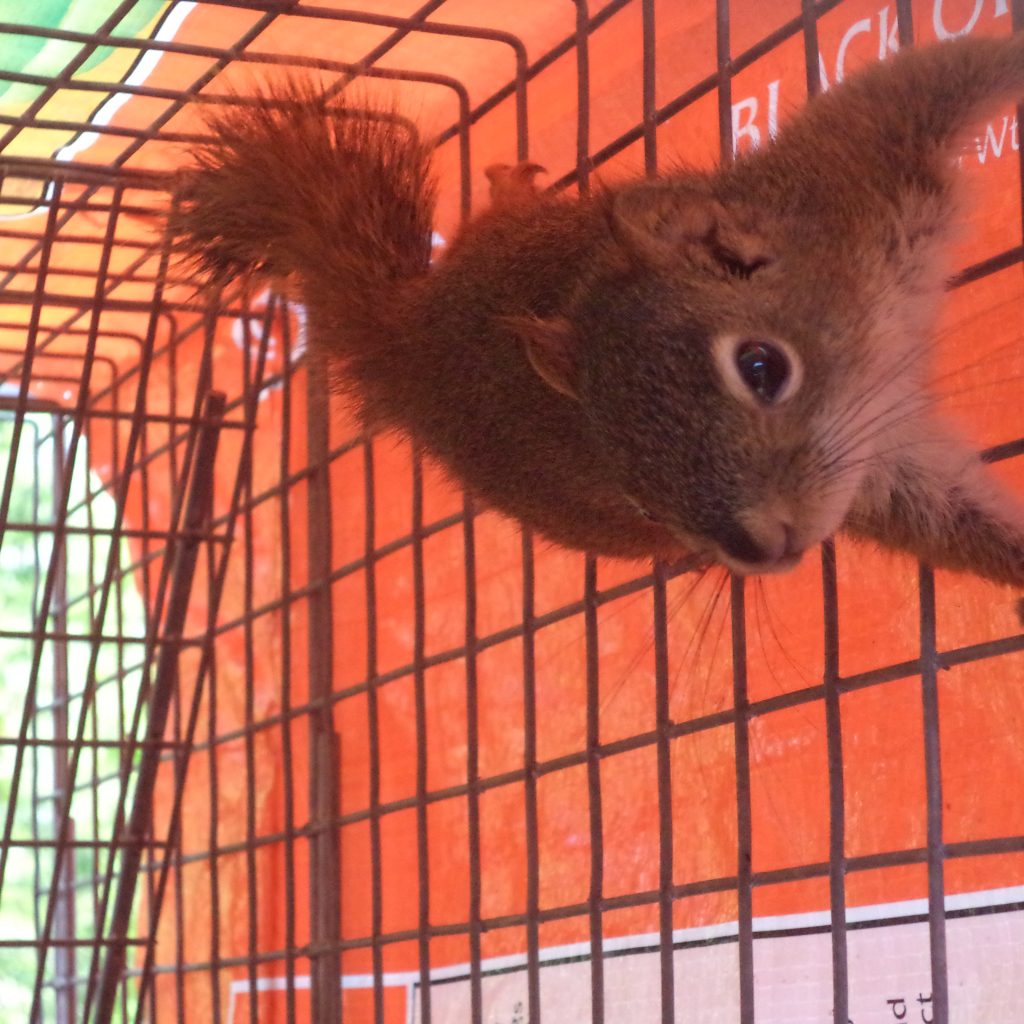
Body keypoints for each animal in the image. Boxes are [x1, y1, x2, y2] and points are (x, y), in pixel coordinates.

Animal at [172, 34, 1024, 586]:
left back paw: (509, 184)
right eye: (641, 497)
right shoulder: (880, 473)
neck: (878, 338)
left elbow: (949, 71)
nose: (763, 548)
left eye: (762, 367)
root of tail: (407, 343)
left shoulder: (858, 164)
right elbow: (946, 521)